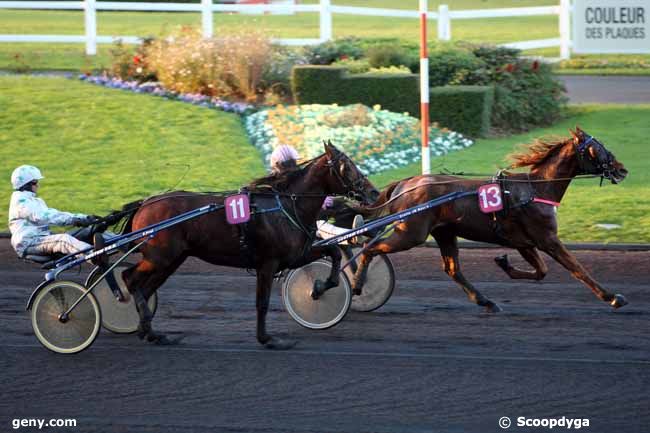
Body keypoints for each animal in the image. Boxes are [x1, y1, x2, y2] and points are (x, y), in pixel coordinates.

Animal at [121, 143, 378, 350]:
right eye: (347, 166)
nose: (374, 192)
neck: (287, 206)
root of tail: (145, 203)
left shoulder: (295, 255)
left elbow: (333, 253)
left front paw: (318, 288)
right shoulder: (268, 263)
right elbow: (262, 302)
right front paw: (267, 339)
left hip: (171, 260)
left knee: (145, 287)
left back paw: (150, 332)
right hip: (160, 257)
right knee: (130, 278)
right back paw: (144, 323)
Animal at [350, 126, 628, 312]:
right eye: (597, 149)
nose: (622, 169)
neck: (536, 189)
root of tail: (406, 183)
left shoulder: (524, 242)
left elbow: (541, 271)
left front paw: (503, 263)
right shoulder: (547, 239)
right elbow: (577, 269)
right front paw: (612, 297)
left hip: (444, 232)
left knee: (452, 269)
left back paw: (485, 301)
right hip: (411, 233)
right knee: (370, 248)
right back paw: (357, 285)